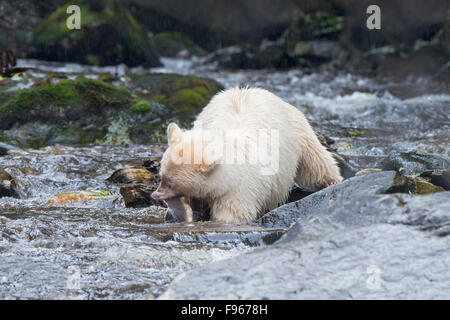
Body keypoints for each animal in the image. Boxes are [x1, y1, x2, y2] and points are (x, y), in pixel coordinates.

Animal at [153, 87, 342, 222]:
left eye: (171, 183)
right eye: (162, 176)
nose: (155, 195)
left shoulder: (242, 187)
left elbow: (232, 214)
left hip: (297, 131)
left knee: (316, 162)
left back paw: (334, 181)